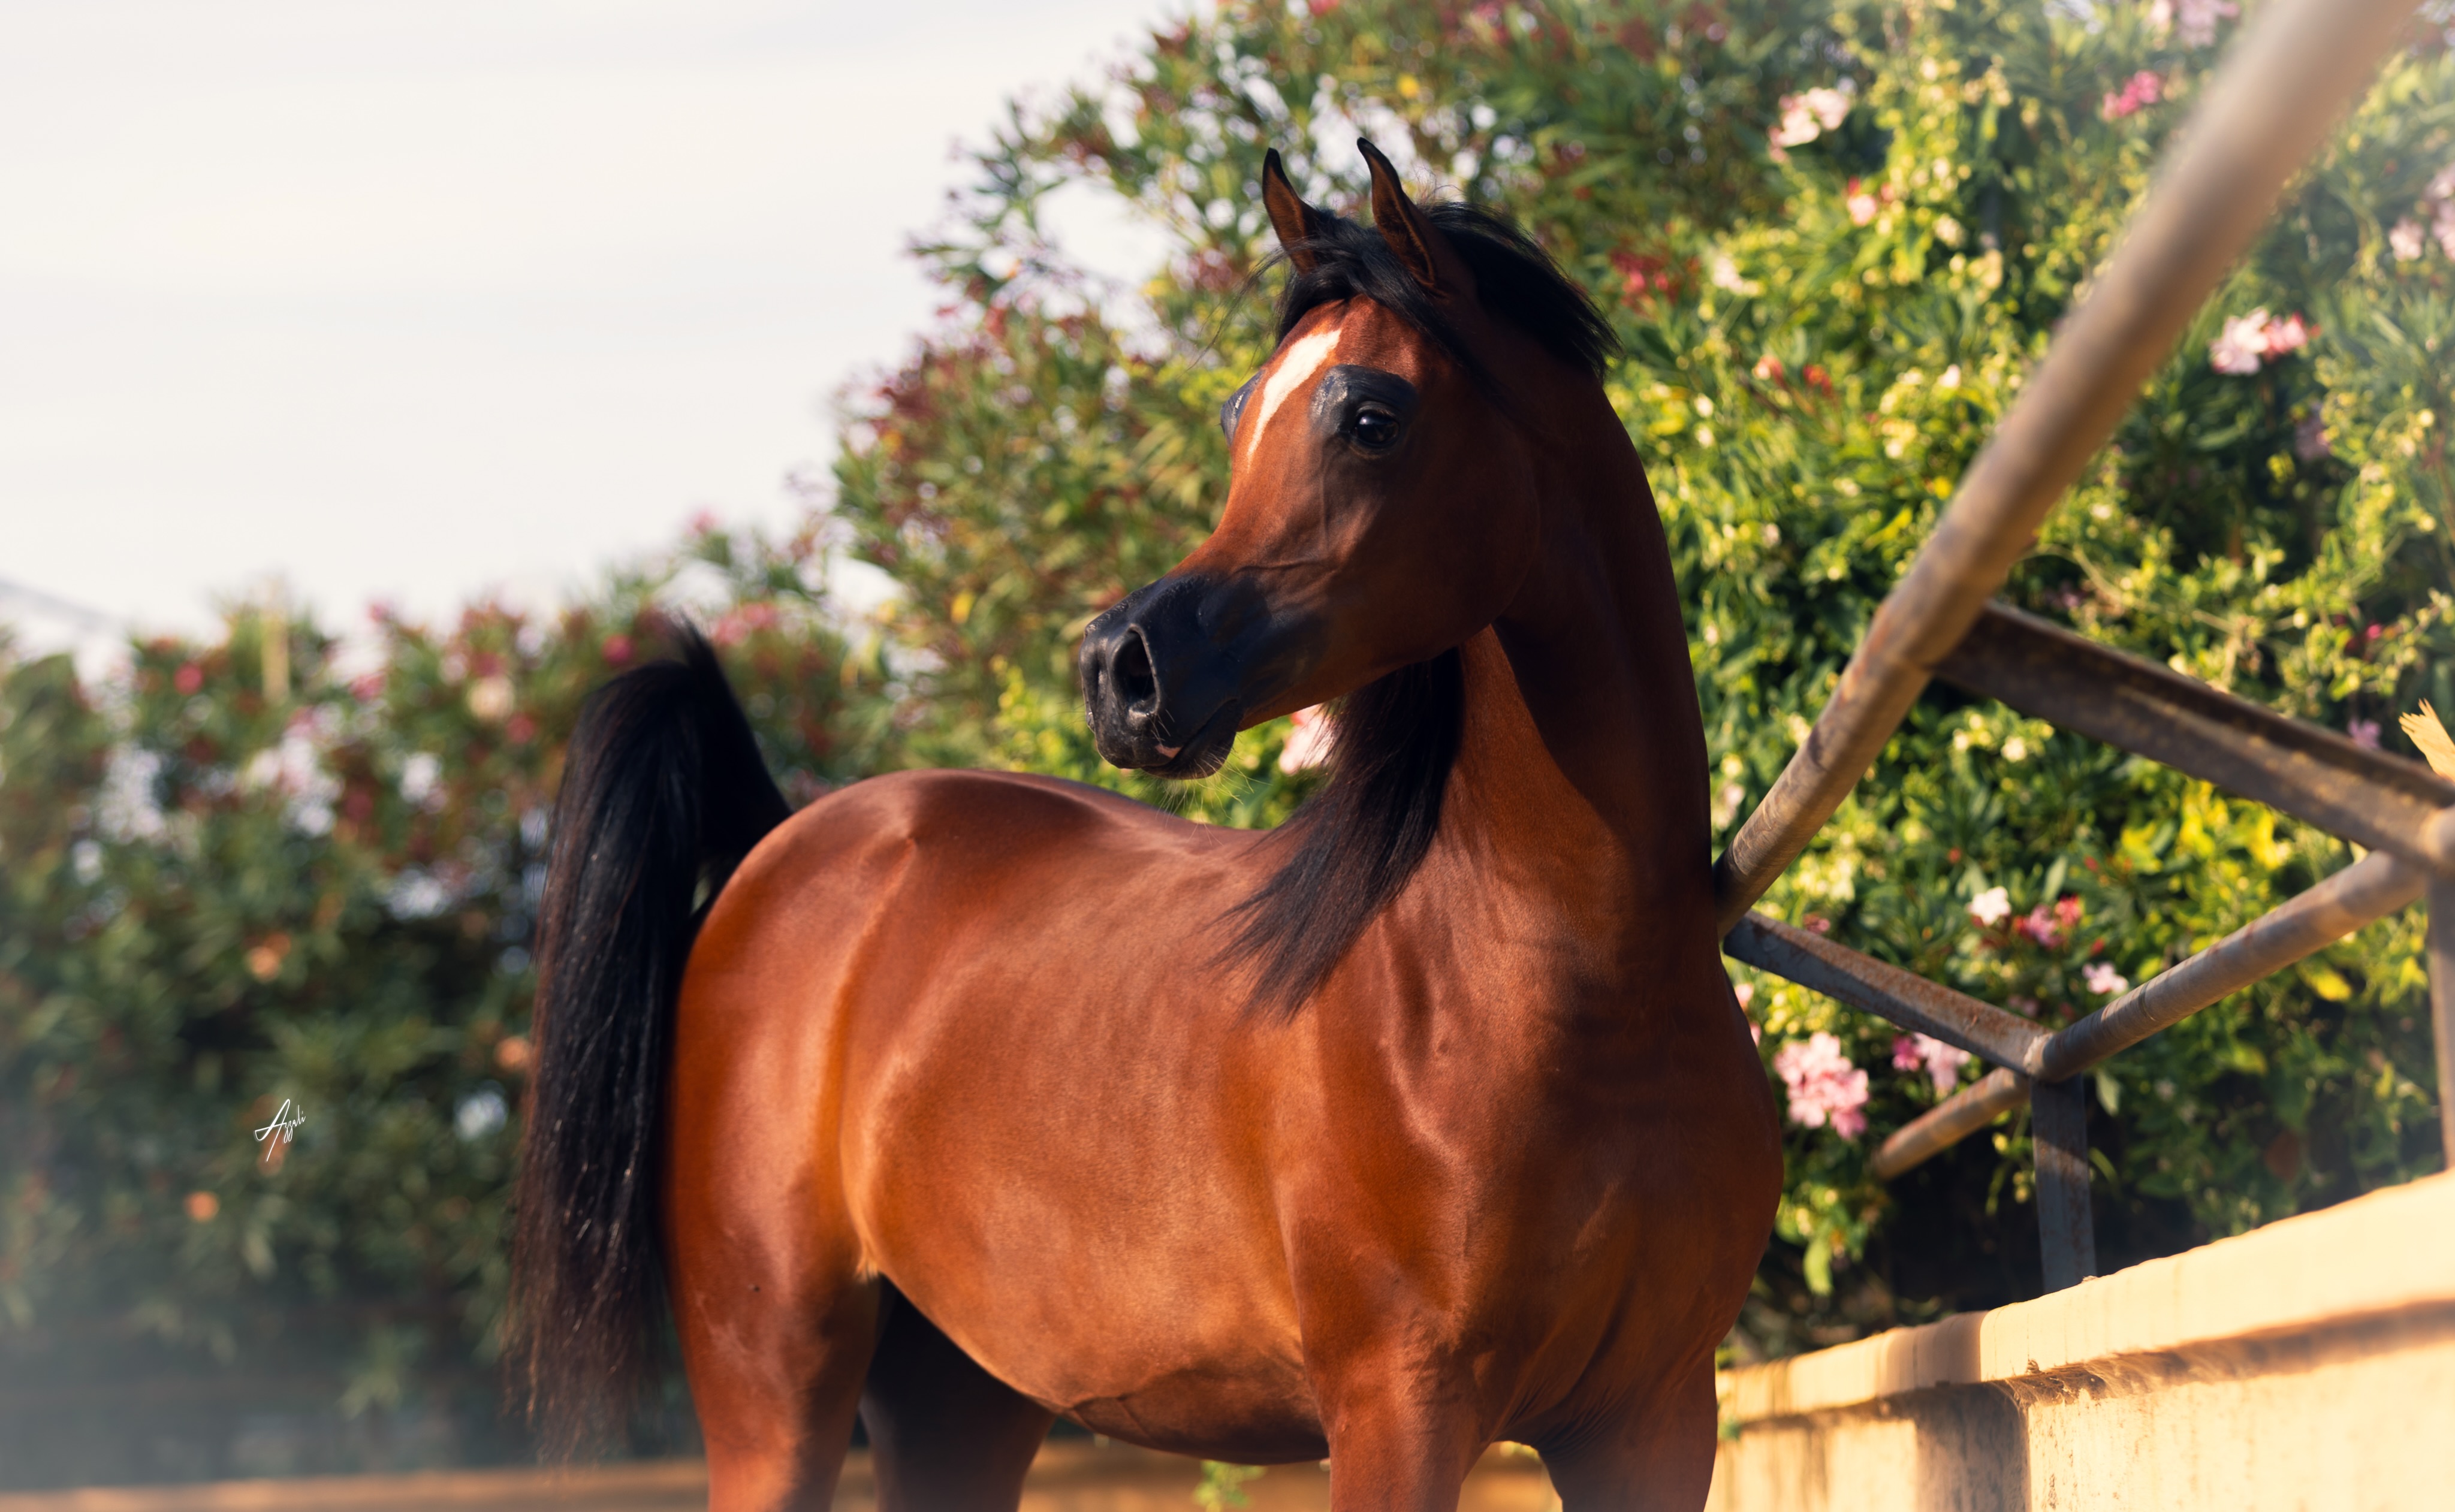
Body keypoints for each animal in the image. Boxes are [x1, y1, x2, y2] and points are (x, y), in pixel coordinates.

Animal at [511, 140, 1781, 1512]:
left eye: (1370, 418)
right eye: (1238, 414)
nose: (1118, 668)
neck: (1568, 982)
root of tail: (778, 844)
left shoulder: (1650, 1420)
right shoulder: (1397, 1408)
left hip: (957, 1394)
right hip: (773, 1389)